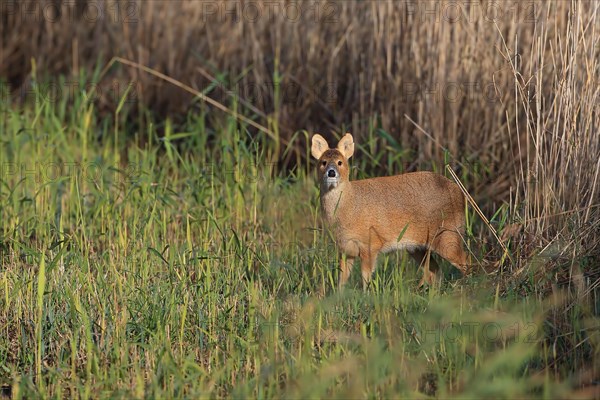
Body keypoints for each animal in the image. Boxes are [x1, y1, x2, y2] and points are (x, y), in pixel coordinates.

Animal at [312, 134, 472, 288]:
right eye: (323, 162)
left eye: (340, 162)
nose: (331, 172)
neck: (349, 207)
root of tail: (460, 192)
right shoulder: (345, 249)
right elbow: (341, 280)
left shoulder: (371, 243)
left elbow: (366, 278)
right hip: (418, 247)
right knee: (436, 271)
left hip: (448, 235)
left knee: (467, 261)